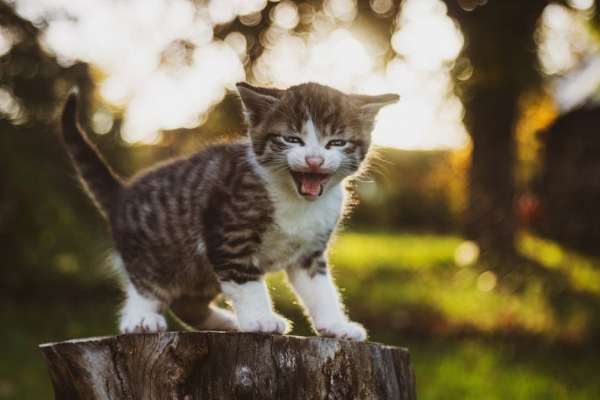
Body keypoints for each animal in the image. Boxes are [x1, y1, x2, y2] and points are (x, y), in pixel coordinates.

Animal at [62, 82, 398, 340]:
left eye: (336, 143)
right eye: (291, 139)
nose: (314, 160)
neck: (296, 201)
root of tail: (121, 194)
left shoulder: (310, 253)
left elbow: (321, 290)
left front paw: (336, 325)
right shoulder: (227, 230)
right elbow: (245, 280)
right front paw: (260, 318)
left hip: (199, 271)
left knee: (187, 303)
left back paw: (225, 322)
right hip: (158, 250)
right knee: (146, 283)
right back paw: (140, 318)